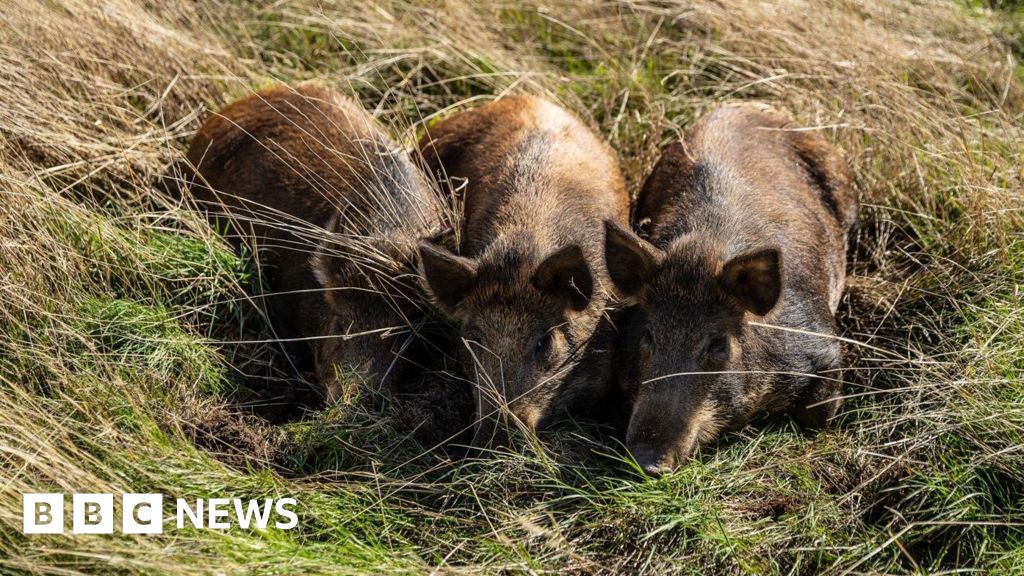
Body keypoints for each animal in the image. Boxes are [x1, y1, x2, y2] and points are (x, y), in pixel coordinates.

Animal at [604, 104, 858, 474]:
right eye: (648, 335)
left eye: (717, 343)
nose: (647, 462)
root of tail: (748, 105)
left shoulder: (823, 345)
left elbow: (819, 415)